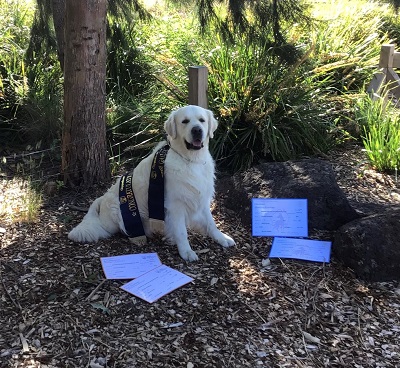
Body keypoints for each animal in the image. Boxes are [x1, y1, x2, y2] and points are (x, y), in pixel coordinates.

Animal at [67, 105, 236, 260]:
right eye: (185, 121)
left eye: (202, 120)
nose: (197, 130)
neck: (190, 160)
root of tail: (101, 201)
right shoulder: (175, 205)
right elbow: (181, 232)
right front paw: (186, 252)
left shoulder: (201, 198)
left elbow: (211, 223)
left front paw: (222, 238)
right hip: (118, 210)